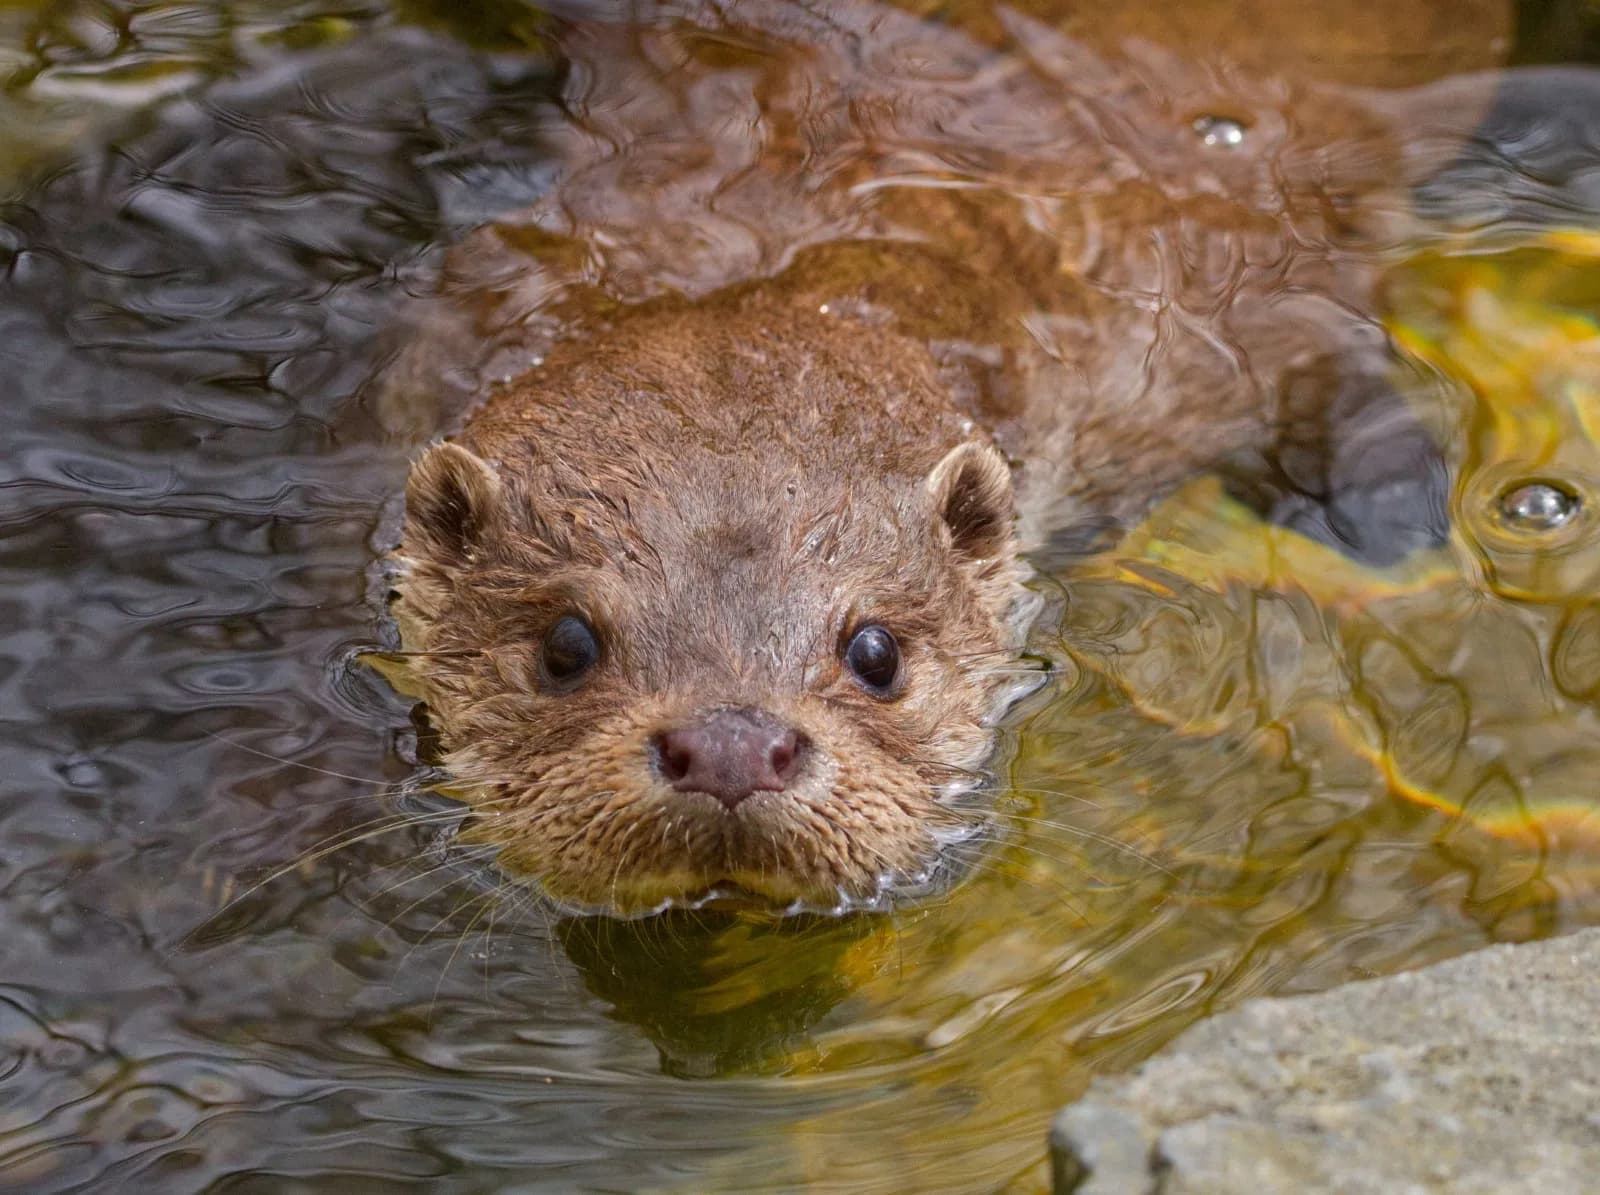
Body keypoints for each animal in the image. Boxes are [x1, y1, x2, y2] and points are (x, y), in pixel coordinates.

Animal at [379, 0, 1511, 914]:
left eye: (876, 652)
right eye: (565, 646)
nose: (732, 745)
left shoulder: (1213, 297)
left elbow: (1329, 351)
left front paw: (1391, 514)